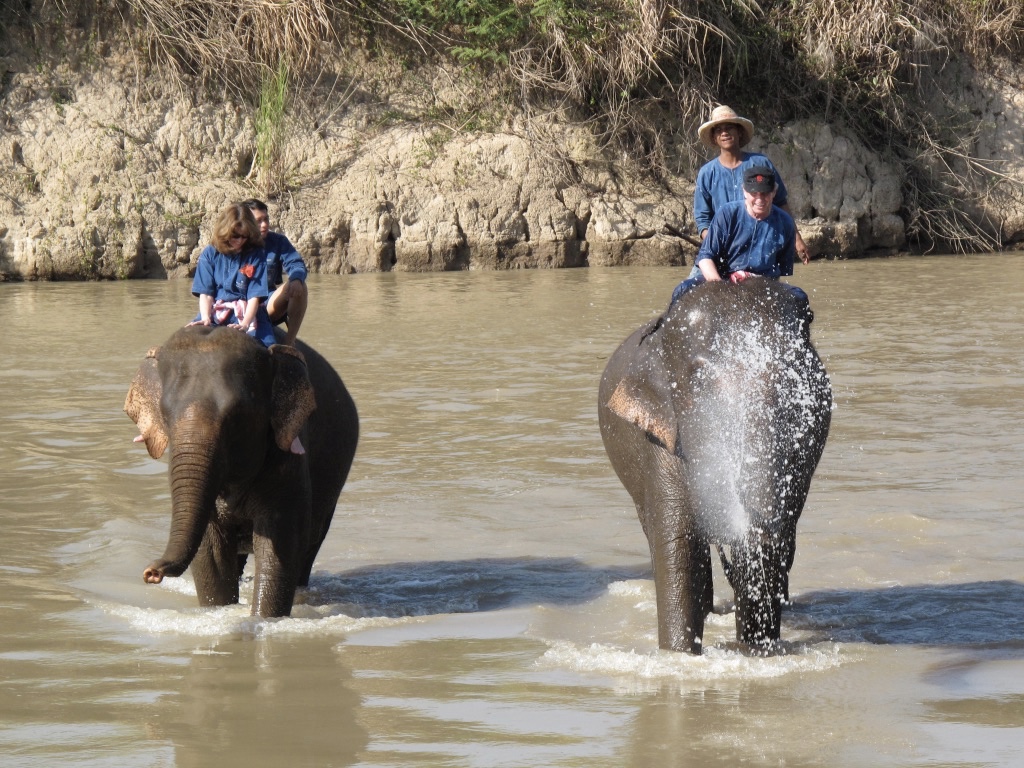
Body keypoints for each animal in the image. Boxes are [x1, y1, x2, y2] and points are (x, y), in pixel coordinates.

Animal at [125, 325, 358, 617]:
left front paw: (263, 620)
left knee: (309, 548)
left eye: (237, 415)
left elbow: (280, 543)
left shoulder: (287, 456)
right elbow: (210, 550)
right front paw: (219, 613)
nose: (151, 573)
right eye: (165, 415)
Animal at [598, 277, 831, 654]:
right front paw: (679, 656)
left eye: (801, 380)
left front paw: (754, 651)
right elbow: (679, 548)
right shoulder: (661, 442)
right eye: (700, 382)